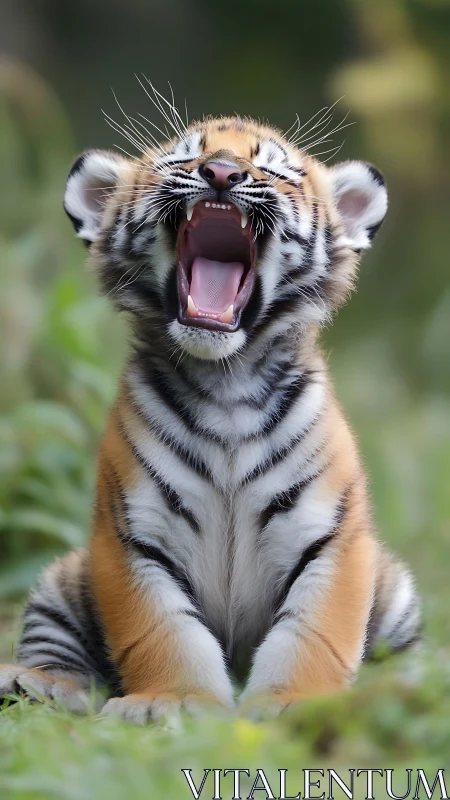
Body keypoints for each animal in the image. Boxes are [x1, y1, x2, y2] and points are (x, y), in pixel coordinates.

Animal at [0, 107, 421, 723]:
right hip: (60, 581)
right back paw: (40, 683)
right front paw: (170, 703)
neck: (226, 380)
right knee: (54, 648)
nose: (221, 172)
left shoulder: (332, 536)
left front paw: (296, 702)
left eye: (274, 168)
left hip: (396, 593)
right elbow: (162, 629)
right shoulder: (130, 537)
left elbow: (315, 630)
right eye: (185, 155)